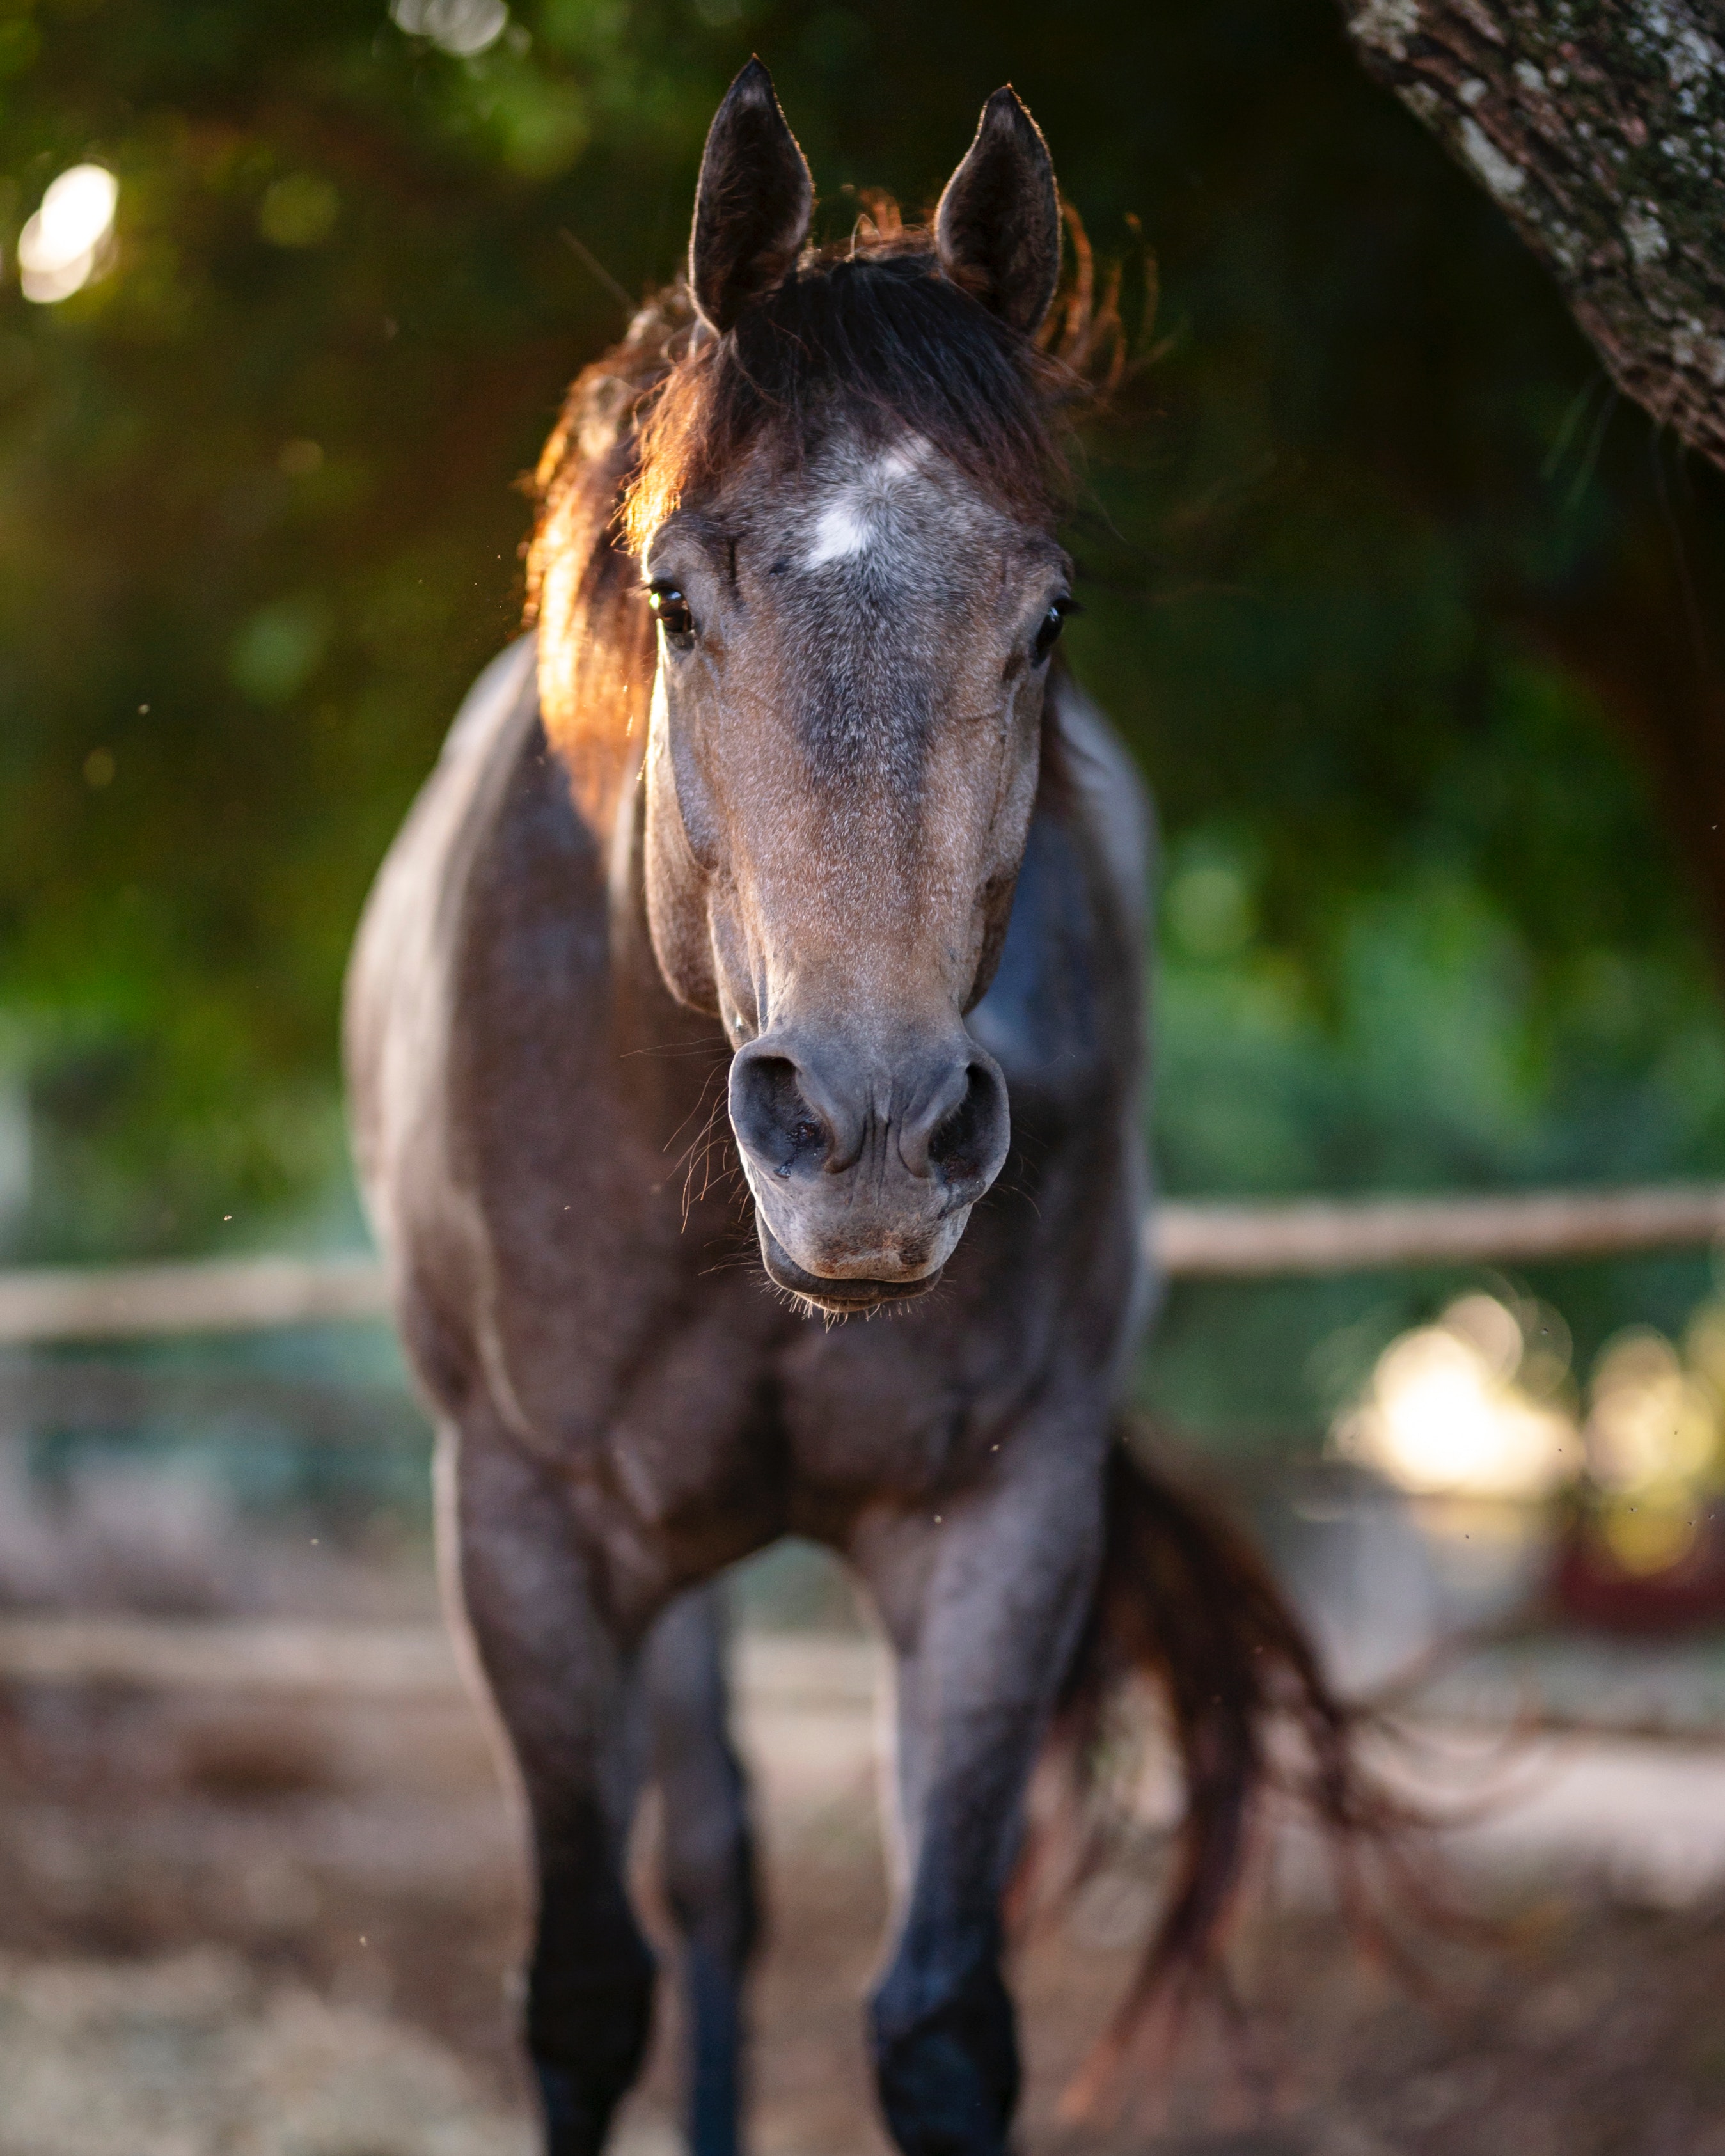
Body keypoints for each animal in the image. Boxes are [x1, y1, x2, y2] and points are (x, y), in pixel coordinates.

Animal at [345, 60, 1374, 2156]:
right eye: (671, 596)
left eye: (1046, 615)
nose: (872, 1137)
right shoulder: (524, 1533)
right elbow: (584, 1987)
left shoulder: (1000, 1529)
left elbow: (940, 2015)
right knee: (705, 1870)